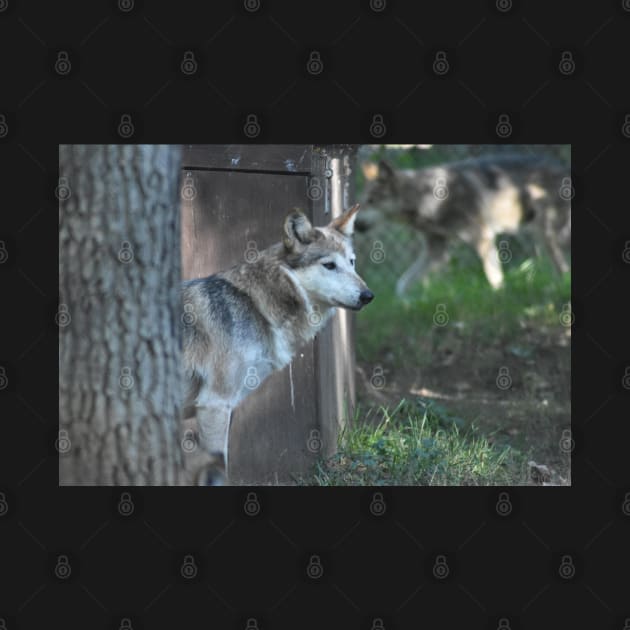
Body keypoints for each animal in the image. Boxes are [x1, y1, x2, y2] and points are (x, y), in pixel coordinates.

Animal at [180, 205, 372, 486]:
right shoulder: (214, 404)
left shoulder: (226, 407)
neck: (255, 305)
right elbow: (219, 470)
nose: (368, 296)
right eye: (329, 265)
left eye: (352, 262)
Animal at [360, 156, 572, 298]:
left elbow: (495, 278)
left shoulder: (483, 239)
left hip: (552, 236)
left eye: (371, 201)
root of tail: (565, 169)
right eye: (363, 201)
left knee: (563, 268)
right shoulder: (436, 252)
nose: (356, 224)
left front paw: (499, 298)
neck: (426, 199)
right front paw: (405, 304)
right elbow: (402, 283)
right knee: (561, 269)